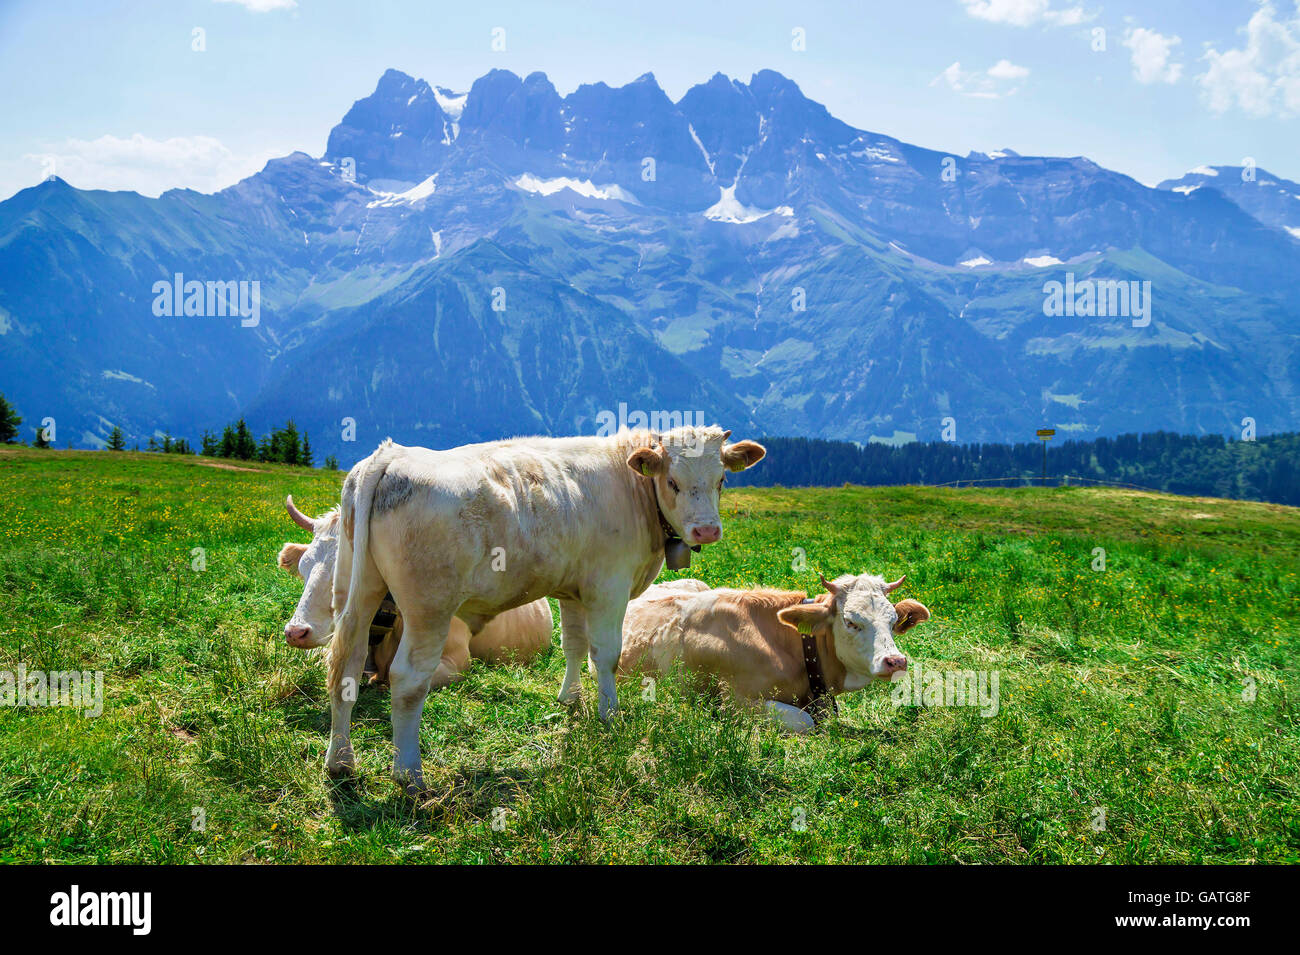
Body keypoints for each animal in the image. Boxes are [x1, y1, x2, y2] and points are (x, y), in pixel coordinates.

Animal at [327, 426, 765, 792]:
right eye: (673, 482)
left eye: (721, 480)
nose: (707, 530)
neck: (633, 491)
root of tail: (392, 455)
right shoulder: (609, 587)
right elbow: (605, 655)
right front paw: (609, 714)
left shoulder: (572, 592)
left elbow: (573, 645)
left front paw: (569, 700)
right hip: (428, 607)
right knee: (407, 680)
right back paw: (409, 774)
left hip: (356, 589)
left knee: (346, 664)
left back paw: (340, 762)